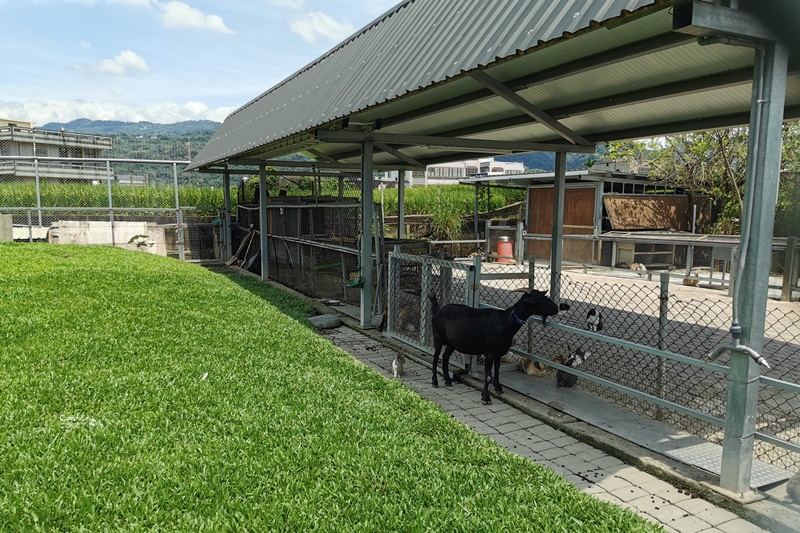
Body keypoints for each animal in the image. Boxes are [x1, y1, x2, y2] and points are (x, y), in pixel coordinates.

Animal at [428, 288, 560, 406]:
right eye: (539, 299)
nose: (556, 308)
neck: (505, 322)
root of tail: (437, 311)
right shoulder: (490, 353)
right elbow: (488, 375)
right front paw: (486, 398)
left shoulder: (499, 353)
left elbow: (496, 370)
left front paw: (498, 388)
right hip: (438, 337)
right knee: (435, 358)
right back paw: (435, 382)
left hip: (451, 343)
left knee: (445, 357)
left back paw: (448, 381)